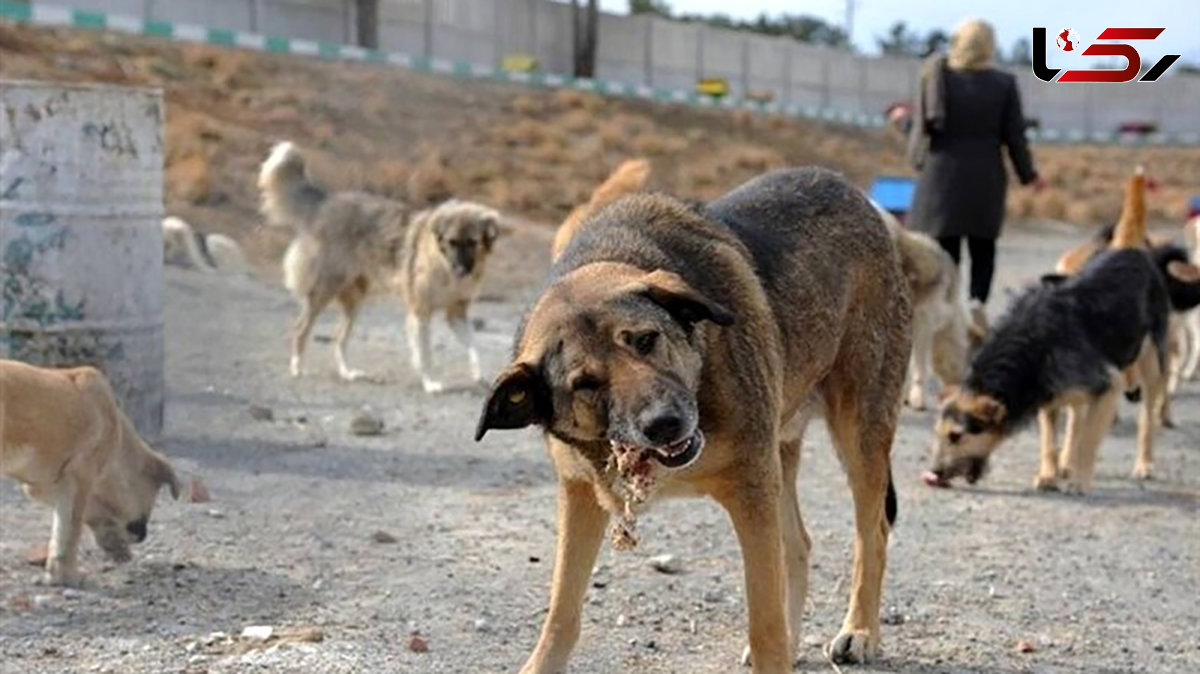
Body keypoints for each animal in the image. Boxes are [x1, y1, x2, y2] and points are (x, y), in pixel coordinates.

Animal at [262, 141, 501, 388]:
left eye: (472, 242)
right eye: (452, 242)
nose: (461, 270)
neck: (442, 264)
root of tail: (326, 202)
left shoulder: (457, 313)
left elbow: (475, 347)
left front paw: (480, 376)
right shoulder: (420, 312)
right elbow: (425, 354)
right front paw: (430, 383)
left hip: (355, 299)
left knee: (339, 338)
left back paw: (347, 373)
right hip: (325, 289)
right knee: (301, 329)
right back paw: (297, 368)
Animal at [477, 166, 907, 666]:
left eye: (646, 340)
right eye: (585, 383)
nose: (665, 423)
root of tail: (851, 191)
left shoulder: (750, 489)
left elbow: (764, 623)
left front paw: (780, 648)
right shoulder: (580, 492)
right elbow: (561, 614)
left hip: (858, 433)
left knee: (872, 532)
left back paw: (860, 630)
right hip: (780, 454)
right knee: (798, 544)